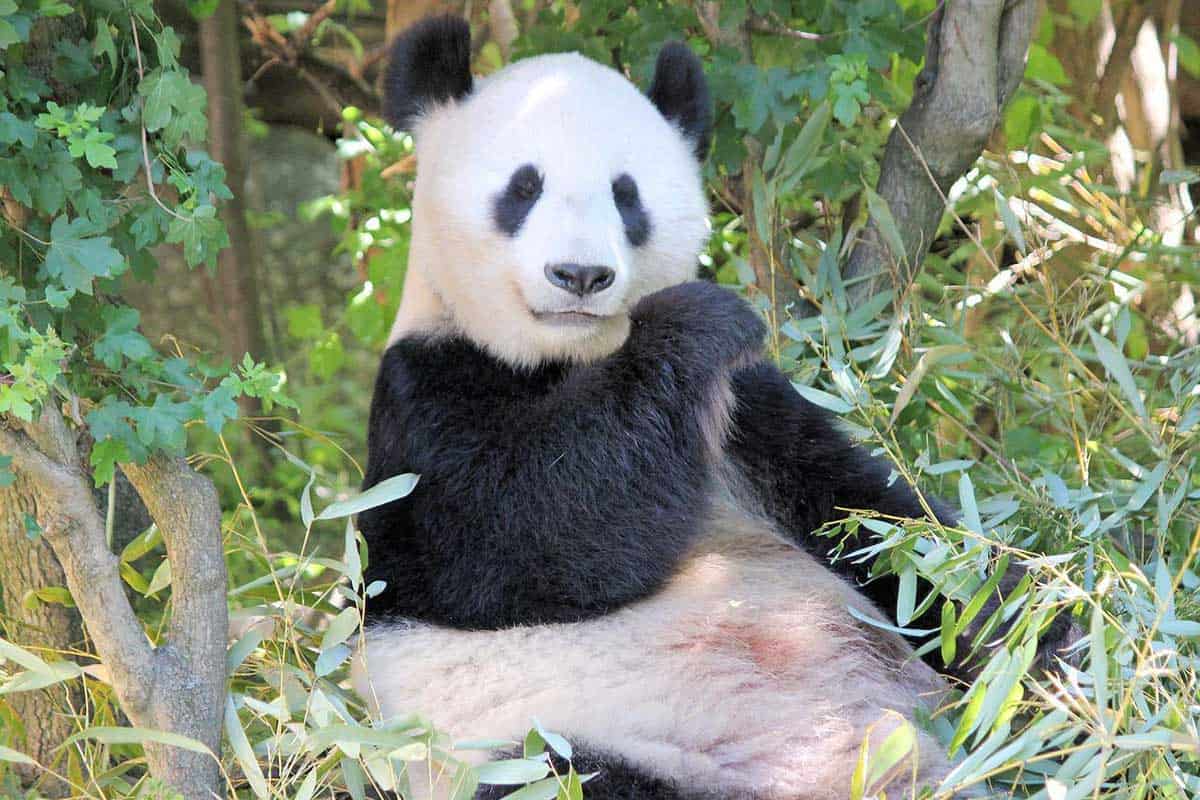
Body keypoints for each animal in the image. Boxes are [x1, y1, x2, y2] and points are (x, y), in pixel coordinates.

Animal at [350, 15, 1053, 800]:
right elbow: (506, 536)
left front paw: (1055, 643)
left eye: (626, 195)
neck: (566, 357)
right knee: (569, 774)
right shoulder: (422, 398)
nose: (579, 275)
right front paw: (696, 320)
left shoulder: (751, 412)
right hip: (563, 744)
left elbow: (893, 539)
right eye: (523, 188)